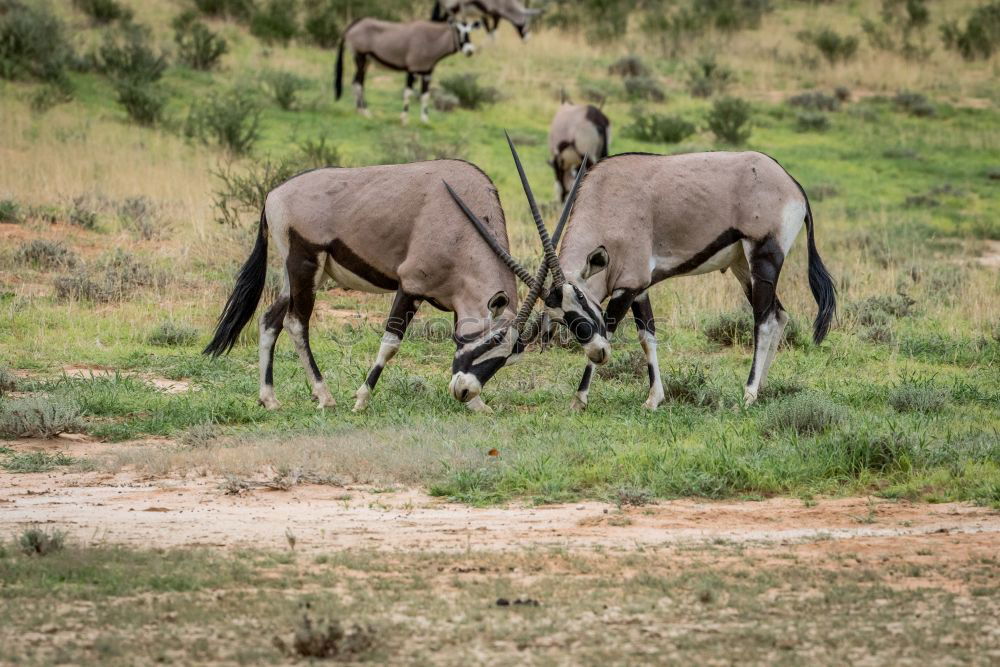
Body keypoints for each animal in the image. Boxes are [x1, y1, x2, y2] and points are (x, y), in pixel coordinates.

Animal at [199, 159, 584, 414]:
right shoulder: (410, 286)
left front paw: (479, 404)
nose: (463, 392)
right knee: (296, 322)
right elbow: (391, 343)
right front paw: (361, 399)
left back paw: (269, 398)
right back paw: (324, 395)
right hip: (304, 265)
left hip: (302, 277)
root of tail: (274, 194)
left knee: (270, 320)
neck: (464, 227)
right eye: (491, 341)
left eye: (508, 358)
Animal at [332, 16, 480, 124]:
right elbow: (408, 93)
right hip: (360, 58)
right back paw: (365, 112)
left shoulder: (427, 73)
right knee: (358, 83)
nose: (470, 51)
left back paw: (359, 111)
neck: (431, 39)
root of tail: (355, 24)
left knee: (357, 82)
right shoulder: (411, 70)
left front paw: (425, 120)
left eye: (470, 30)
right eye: (458, 30)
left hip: (366, 61)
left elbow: (425, 95)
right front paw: (404, 119)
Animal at [466, 147, 836, 412]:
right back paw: (761, 389)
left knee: (764, 321)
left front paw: (580, 398)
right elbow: (648, 337)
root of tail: (791, 184)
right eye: (559, 317)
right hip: (741, 265)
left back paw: (747, 394)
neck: (607, 201)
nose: (598, 355)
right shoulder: (639, 287)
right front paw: (653, 399)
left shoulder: (627, 287)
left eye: (582, 299)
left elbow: (611, 329)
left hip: (763, 257)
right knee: (778, 315)